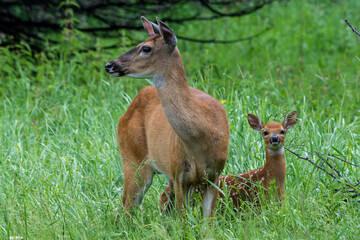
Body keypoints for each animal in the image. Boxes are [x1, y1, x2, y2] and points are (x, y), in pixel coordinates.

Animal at [105, 16, 228, 218]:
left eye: (146, 48)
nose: (109, 65)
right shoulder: (179, 175)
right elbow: (184, 220)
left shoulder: (214, 175)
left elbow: (206, 222)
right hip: (133, 160)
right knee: (124, 210)